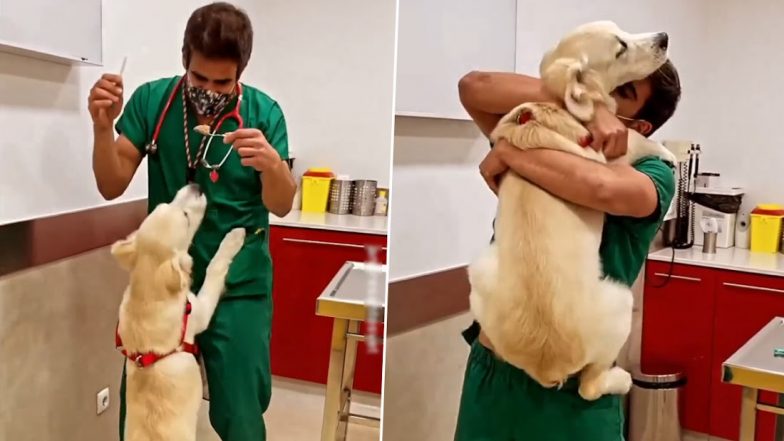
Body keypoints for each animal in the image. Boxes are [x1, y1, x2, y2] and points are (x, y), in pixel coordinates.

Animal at [110, 182, 243, 440]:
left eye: (166, 203)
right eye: (186, 217)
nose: (196, 186)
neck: (148, 291)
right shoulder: (198, 312)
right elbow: (214, 268)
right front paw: (233, 238)